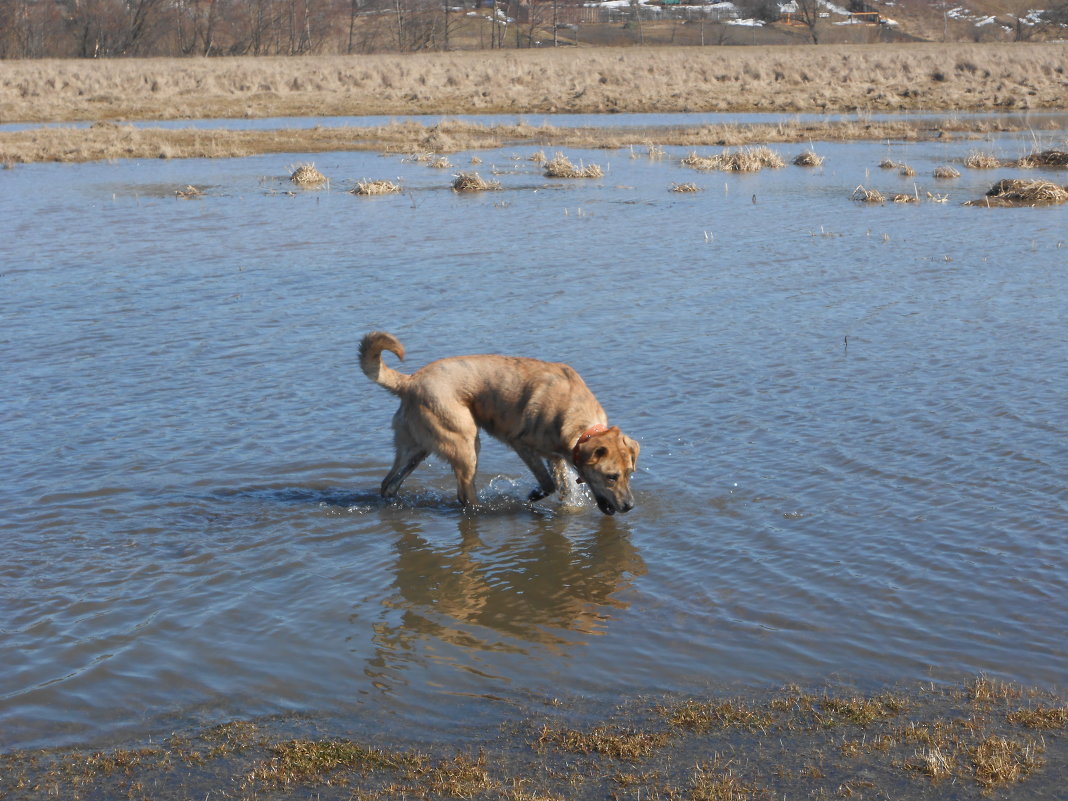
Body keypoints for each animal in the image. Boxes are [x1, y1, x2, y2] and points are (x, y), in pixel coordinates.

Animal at [358, 331, 640, 514]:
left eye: (629, 474)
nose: (629, 506)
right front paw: (534, 495)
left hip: (415, 448)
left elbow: (562, 487)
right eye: (611, 477)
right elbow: (547, 482)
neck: (582, 425)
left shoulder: (556, 456)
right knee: (465, 494)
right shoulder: (522, 444)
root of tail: (409, 381)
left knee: (389, 484)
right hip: (465, 444)